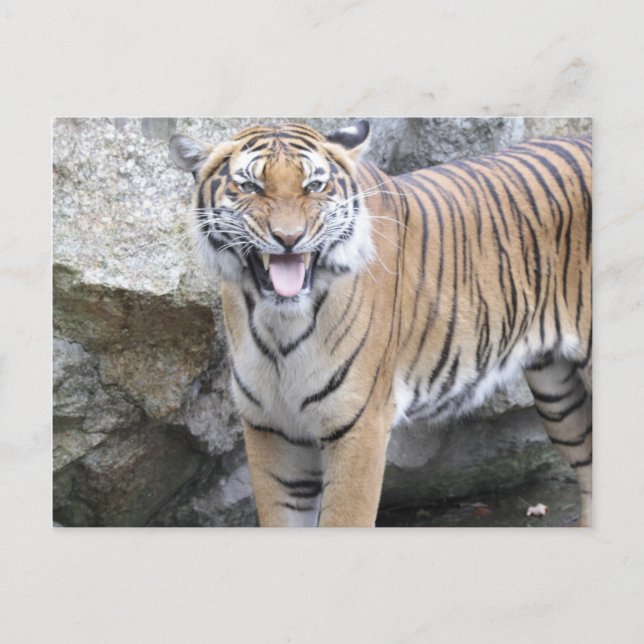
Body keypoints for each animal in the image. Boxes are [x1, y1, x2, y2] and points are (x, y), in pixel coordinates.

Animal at [169, 120, 592, 527]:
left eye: (314, 185)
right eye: (250, 187)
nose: (289, 238)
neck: (279, 323)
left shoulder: (359, 425)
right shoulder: (271, 427)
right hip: (557, 392)